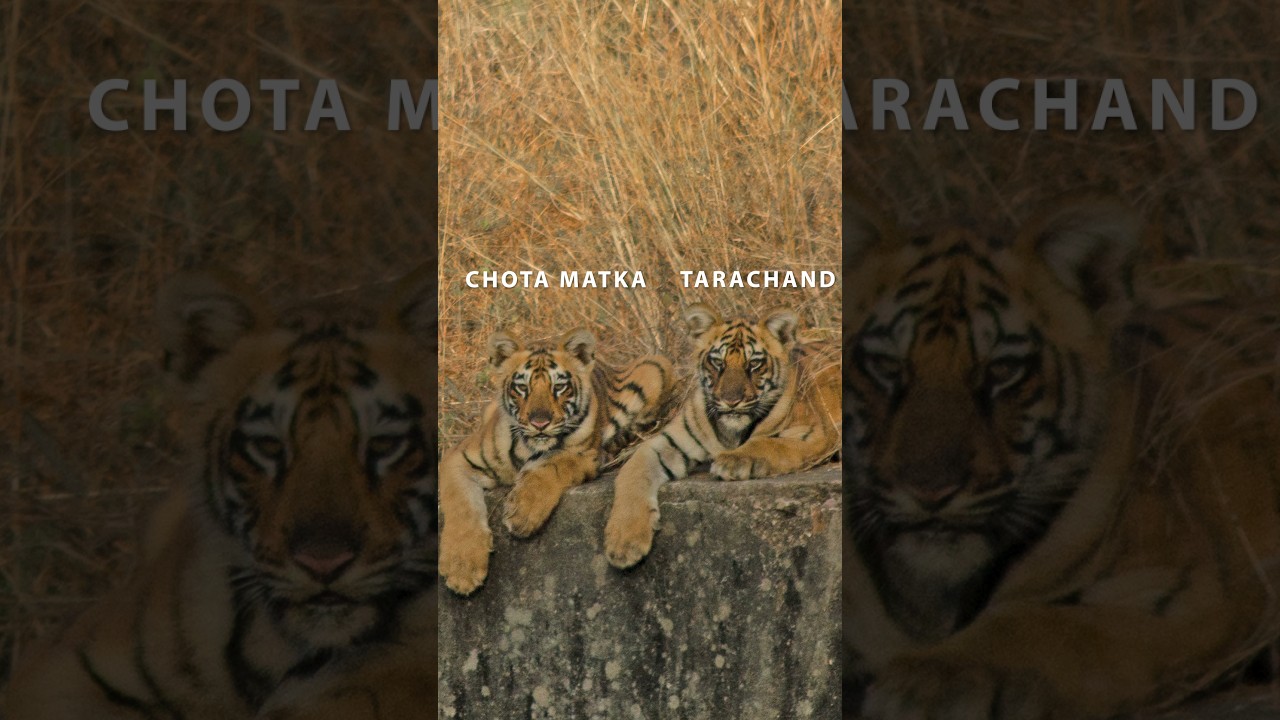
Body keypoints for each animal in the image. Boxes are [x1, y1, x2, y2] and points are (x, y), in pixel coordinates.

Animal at [438, 328, 675, 596]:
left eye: (559, 386)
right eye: (522, 387)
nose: (540, 422)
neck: (528, 448)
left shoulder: (587, 455)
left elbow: (551, 466)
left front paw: (522, 513)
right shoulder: (458, 458)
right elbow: (461, 505)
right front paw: (462, 569)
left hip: (655, 368)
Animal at [604, 303, 841, 570]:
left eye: (754, 364)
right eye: (717, 362)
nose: (731, 401)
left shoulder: (813, 433)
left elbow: (765, 442)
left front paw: (730, 462)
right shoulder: (668, 442)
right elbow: (632, 471)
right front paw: (624, 543)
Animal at [843, 194, 1280, 719]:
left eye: (1002, 371)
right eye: (887, 366)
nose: (930, 492)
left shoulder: (1190, 593)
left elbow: (1046, 623)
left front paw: (925, 684)